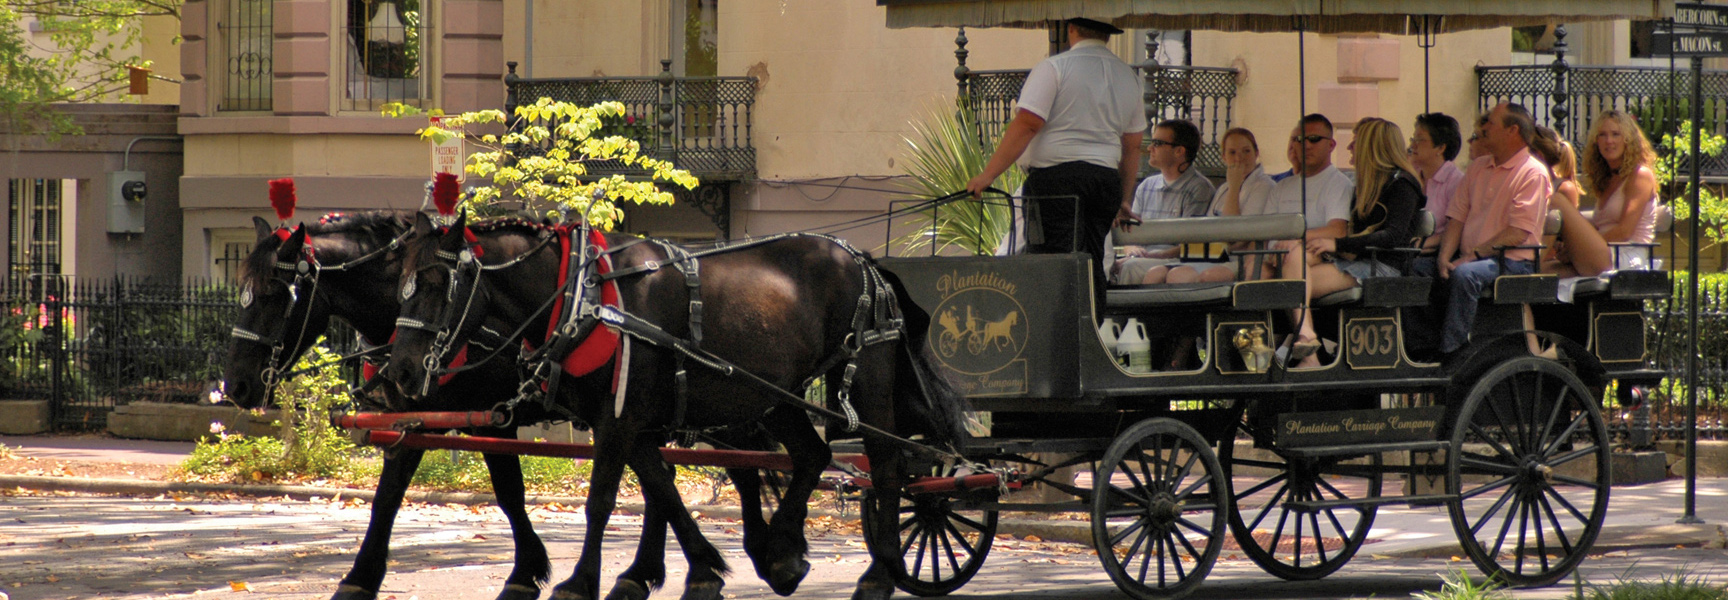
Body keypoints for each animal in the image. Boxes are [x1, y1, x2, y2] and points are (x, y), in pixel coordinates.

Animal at [218, 211, 792, 600]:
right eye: (240, 292)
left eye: (273, 294)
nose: (237, 386)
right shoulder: (414, 418)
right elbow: (388, 498)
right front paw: (361, 577)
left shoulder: (493, 417)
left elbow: (509, 493)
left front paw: (525, 572)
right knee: (666, 479)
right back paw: (649, 572)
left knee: (736, 468)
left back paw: (751, 554)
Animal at [378, 212, 970, 600]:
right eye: (398, 283)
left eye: (435, 281)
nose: (399, 372)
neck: (585, 294)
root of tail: (862, 258)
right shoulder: (629, 422)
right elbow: (662, 489)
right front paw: (701, 567)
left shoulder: (618, 421)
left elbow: (602, 501)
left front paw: (580, 581)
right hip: (773, 391)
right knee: (811, 456)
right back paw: (782, 552)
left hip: (865, 372)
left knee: (887, 465)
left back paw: (879, 573)